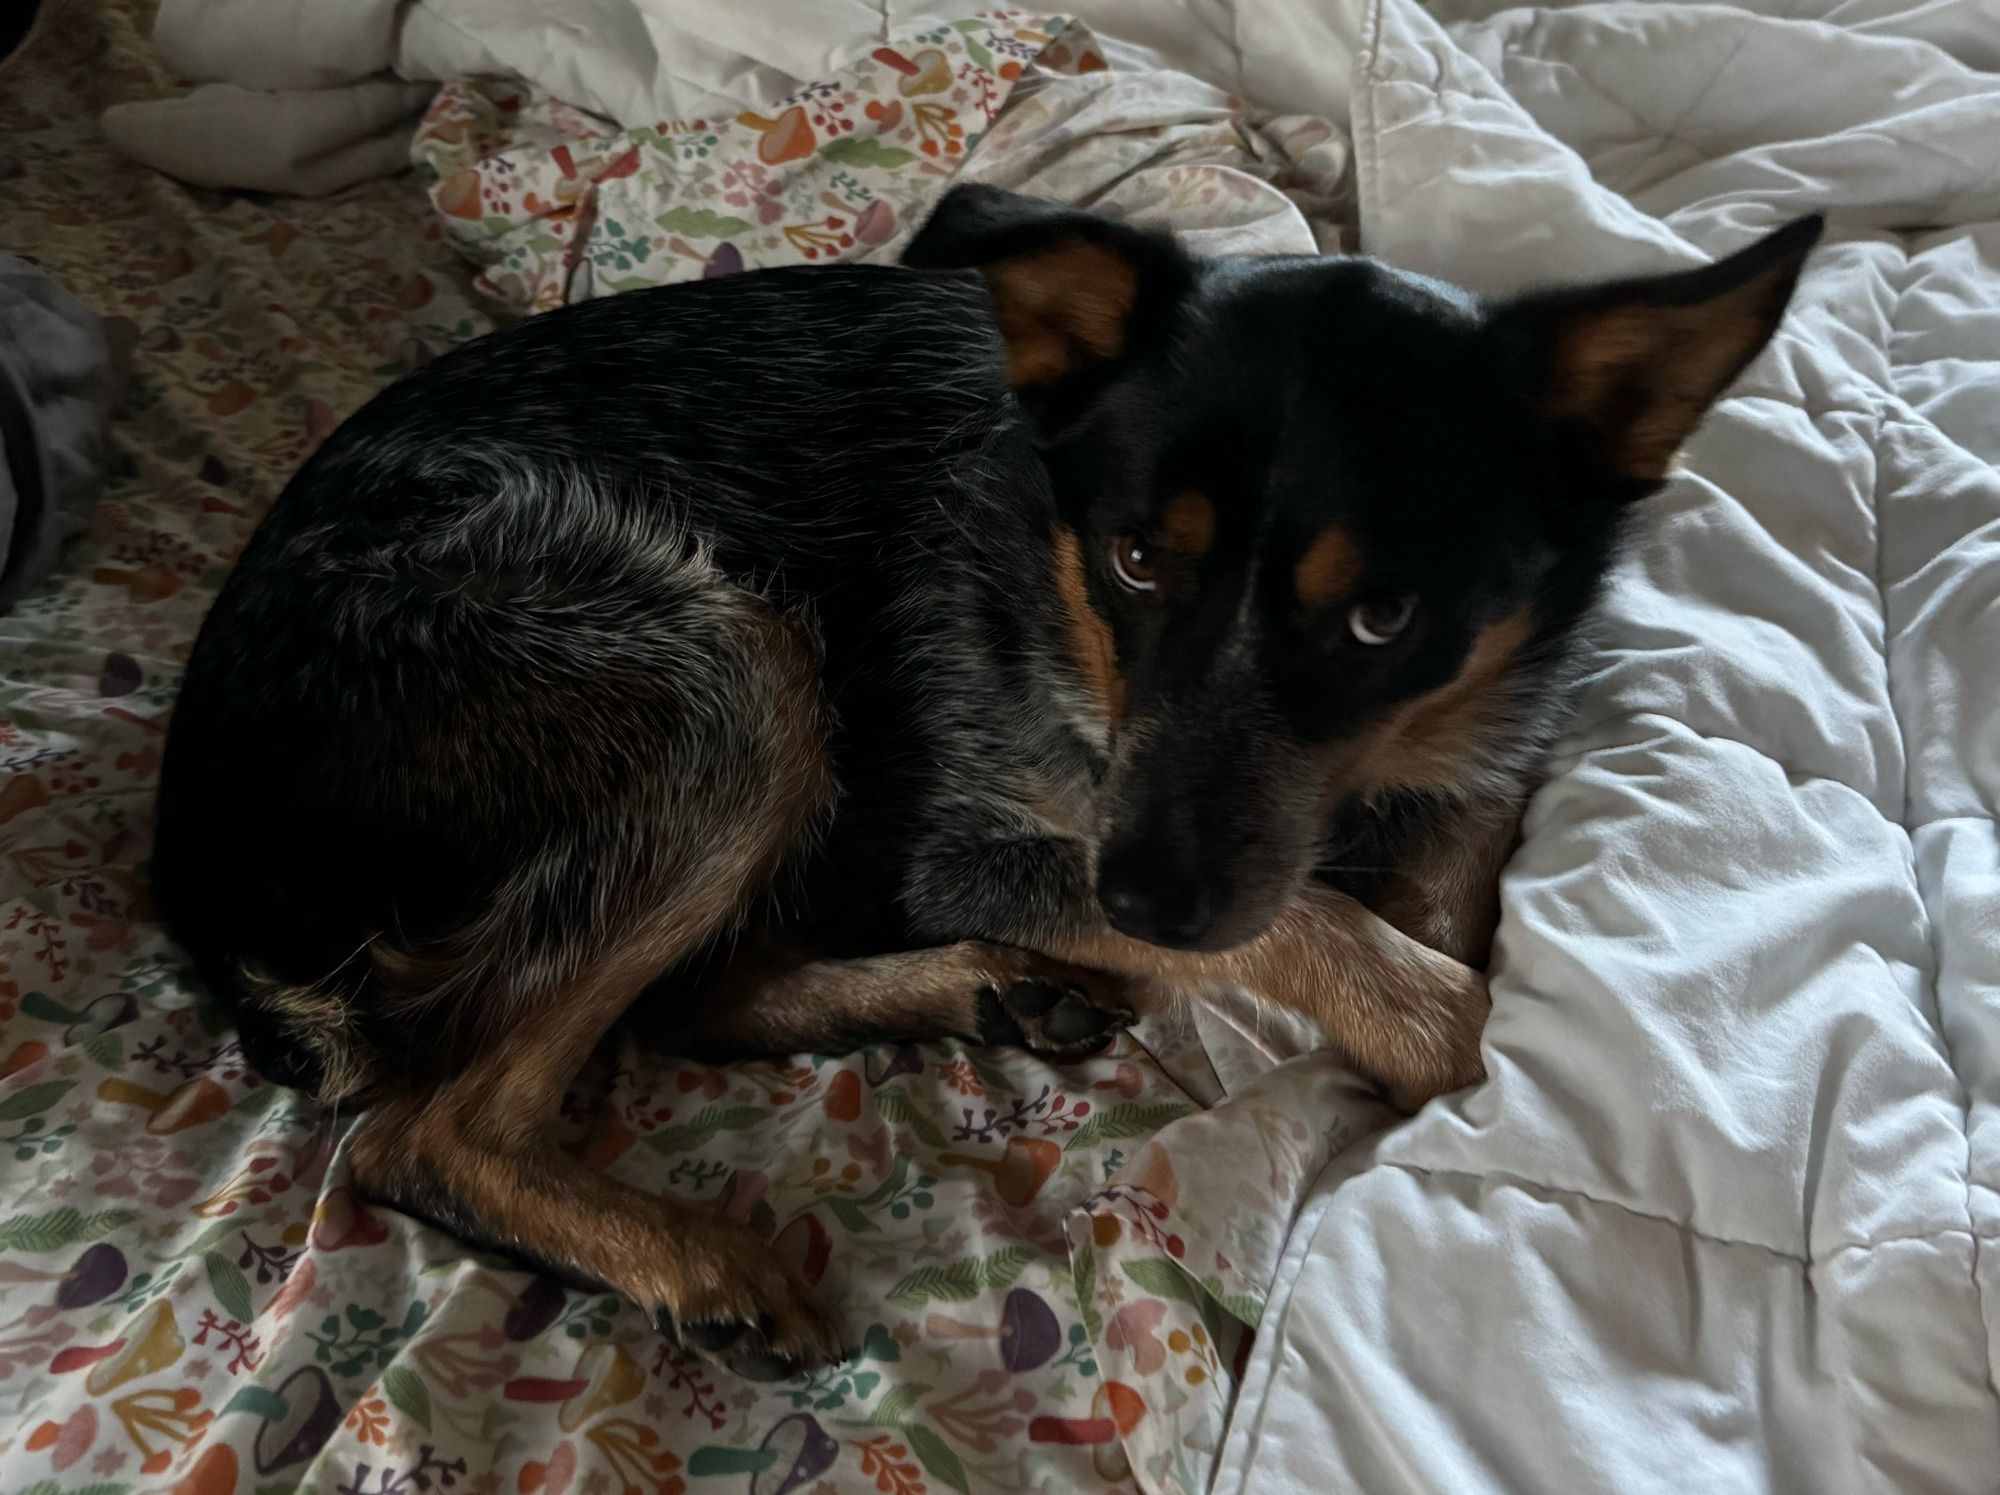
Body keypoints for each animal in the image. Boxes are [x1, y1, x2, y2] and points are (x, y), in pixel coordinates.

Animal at [152, 183, 1816, 1375]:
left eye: (1381, 616)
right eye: (1136, 559)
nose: (1136, 888)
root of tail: (197, 870)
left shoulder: (1480, 733)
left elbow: (1451, 859)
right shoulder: (969, 838)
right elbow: (1324, 929)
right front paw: (1448, 1028)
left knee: (683, 997)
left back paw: (978, 986)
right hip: (722, 658)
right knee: (426, 1124)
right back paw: (695, 1249)